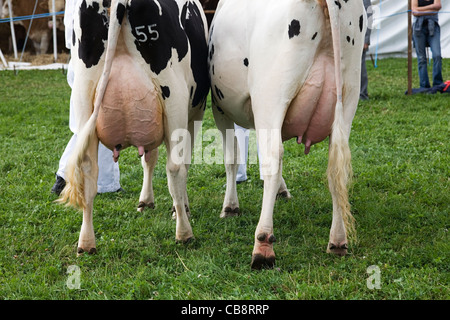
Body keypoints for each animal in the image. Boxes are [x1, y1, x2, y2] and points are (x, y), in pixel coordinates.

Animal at [57, 0, 209, 255]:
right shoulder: (194, 113)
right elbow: (182, 162)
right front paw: (180, 208)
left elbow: (148, 157)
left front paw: (145, 201)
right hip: (174, 99)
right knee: (175, 168)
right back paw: (184, 233)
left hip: (82, 99)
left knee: (87, 171)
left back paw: (86, 243)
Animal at [209, 0, 368, 268]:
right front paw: (282, 192)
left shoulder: (220, 108)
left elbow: (232, 158)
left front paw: (230, 207)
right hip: (349, 95)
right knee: (336, 167)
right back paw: (337, 241)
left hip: (270, 96)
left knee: (274, 156)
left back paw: (262, 246)